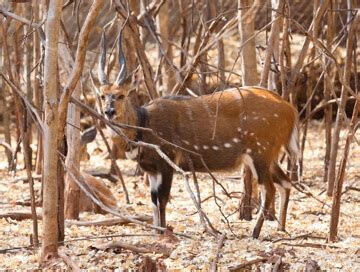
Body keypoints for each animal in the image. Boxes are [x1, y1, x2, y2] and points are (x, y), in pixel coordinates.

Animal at [97, 31, 300, 238]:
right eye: (102, 95)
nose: (109, 111)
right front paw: (156, 231)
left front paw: (164, 231)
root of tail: (290, 109)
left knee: (270, 188)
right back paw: (281, 227)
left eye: (121, 95)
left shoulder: (168, 161)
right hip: (267, 156)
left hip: (260, 152)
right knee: (285, 182)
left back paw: (255, 232)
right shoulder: (151, 169)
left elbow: (162, 199)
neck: (142, 126)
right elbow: (153, 200)